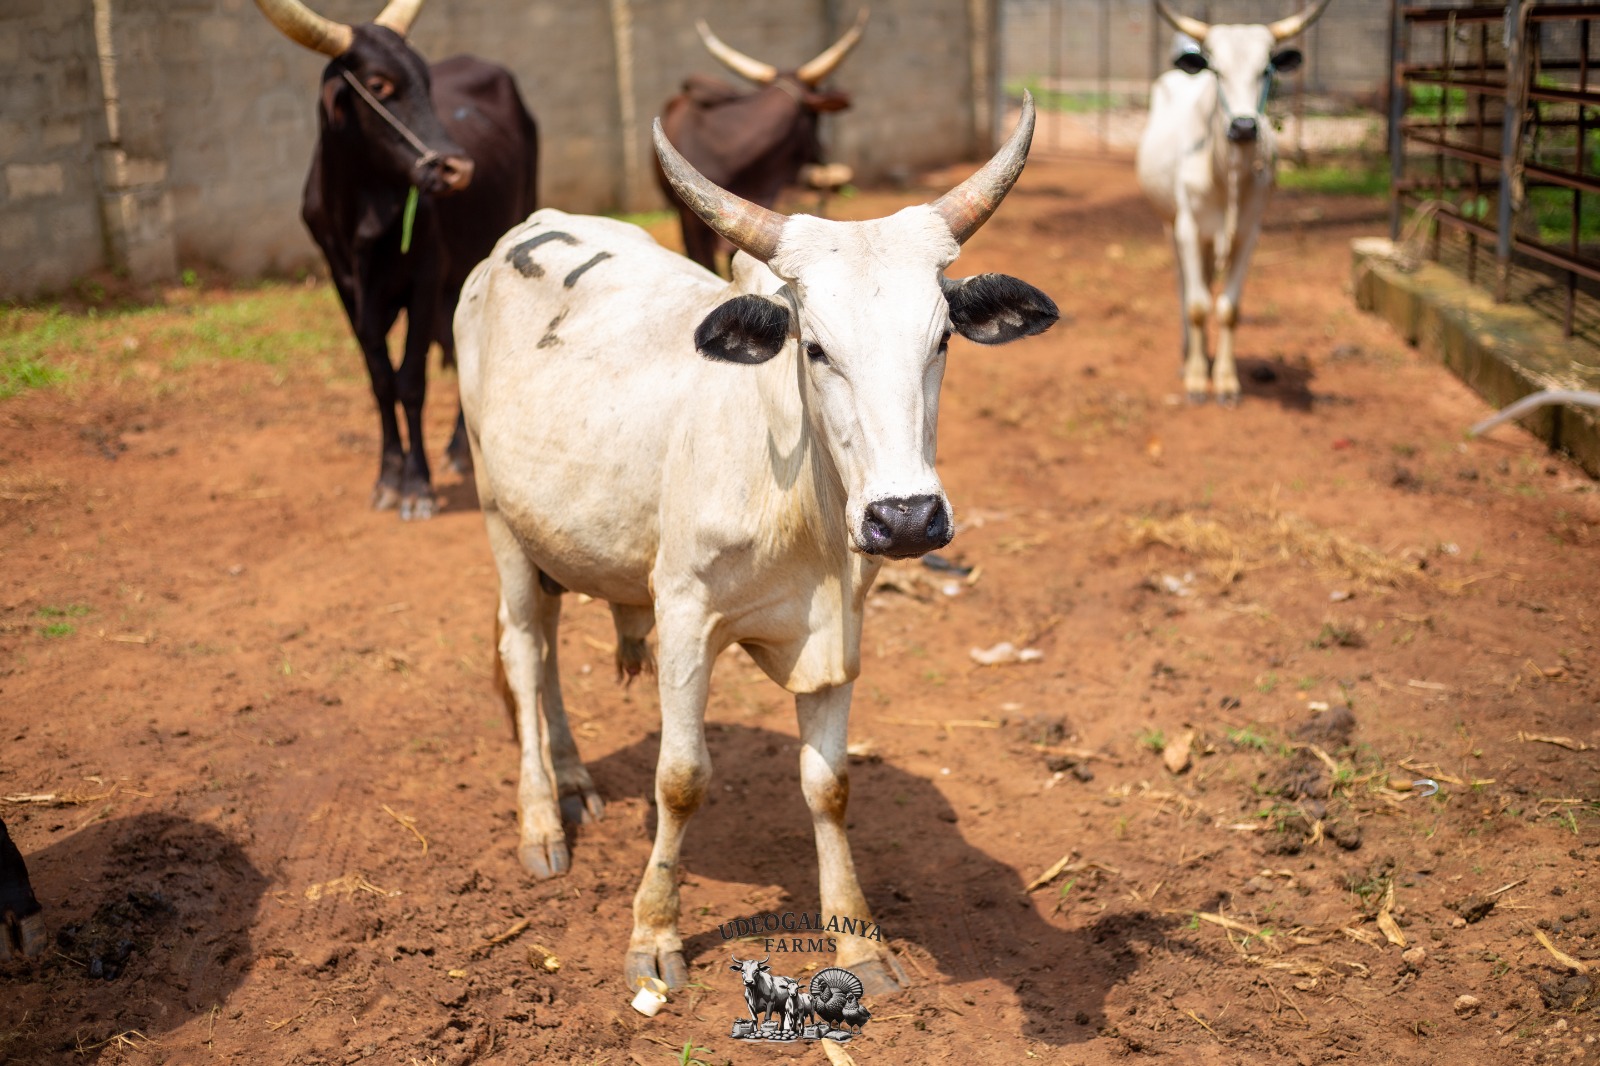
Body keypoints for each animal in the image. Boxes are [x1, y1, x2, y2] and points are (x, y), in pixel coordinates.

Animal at [254, 0, 538, 519]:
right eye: (380, 86)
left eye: (426, 80)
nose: (457, 168)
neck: (365, 211)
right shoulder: (346, 287)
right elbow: (380, 380)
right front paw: (388, 477)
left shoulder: (424, 279)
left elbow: (410, 380)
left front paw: (417, 485)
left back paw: (458, 452)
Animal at [452, 94, 1057, 996]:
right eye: (816, 347)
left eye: (942, 341)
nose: (907, 518)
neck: (803, 511)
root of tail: (520, 236)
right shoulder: (684, 616)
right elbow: (681, 780)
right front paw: (653, 933)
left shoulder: (840, 630)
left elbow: (829, 786)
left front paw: (857, 941)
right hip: (498, 515)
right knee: (526, 654)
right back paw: (539, 820)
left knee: (551, 652)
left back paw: (573, 780)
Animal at [1135, 0, 1330, 404]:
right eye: (1217, 70)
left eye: (1266, 69)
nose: (1242, 127)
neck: (1227, 175)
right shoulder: (1188, 227)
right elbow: (1196, 306)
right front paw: (1196, 378)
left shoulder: (1248, 233)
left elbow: (1228, 308)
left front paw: (1225, 380)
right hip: (1170, 224)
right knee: (1184, 286)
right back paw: (1187, 355)